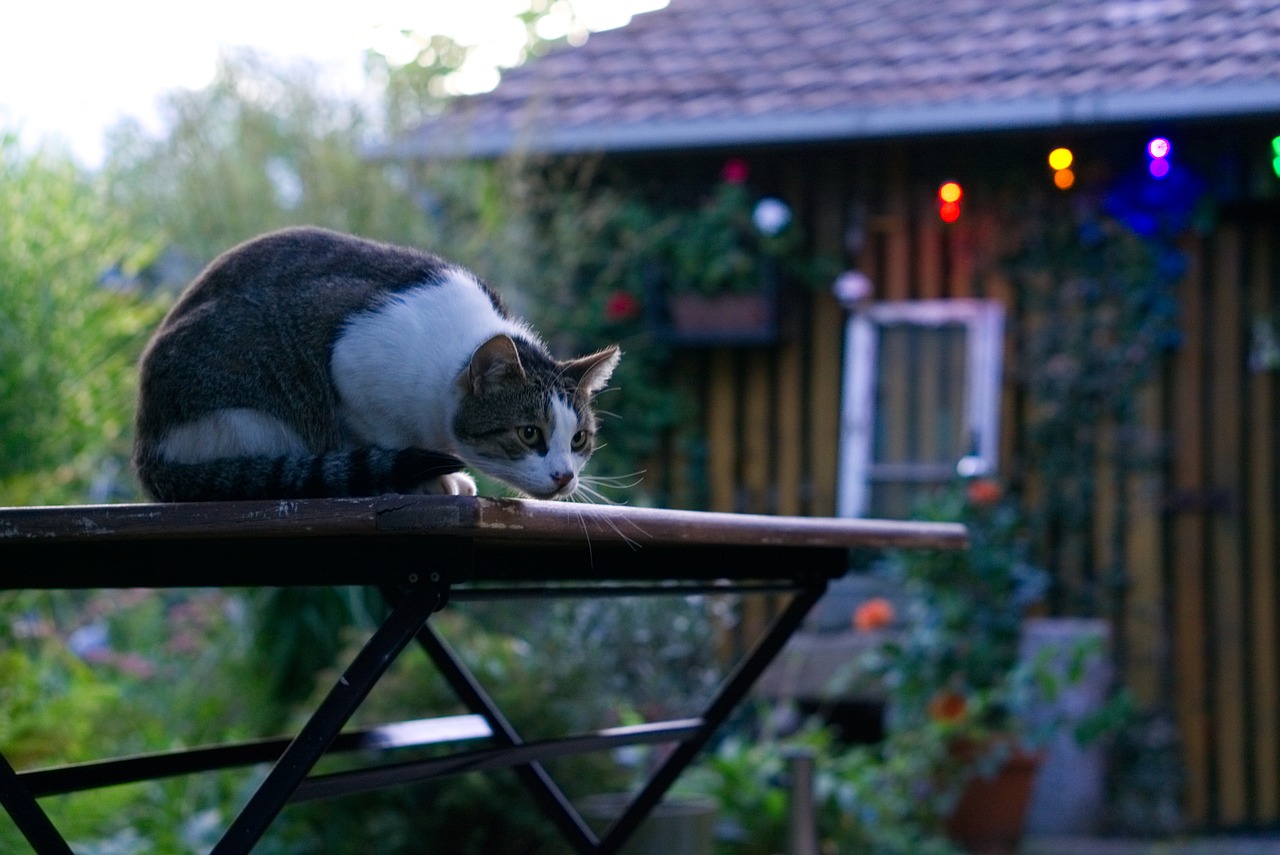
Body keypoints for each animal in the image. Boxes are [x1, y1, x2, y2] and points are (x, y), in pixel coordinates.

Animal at [132, 225, 622, 501]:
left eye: (579, 439)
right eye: (528, 433)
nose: (564, 477)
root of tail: (146, 449)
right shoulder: (349, 359)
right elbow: (387, 438)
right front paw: (427, 481)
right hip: (251, 408)